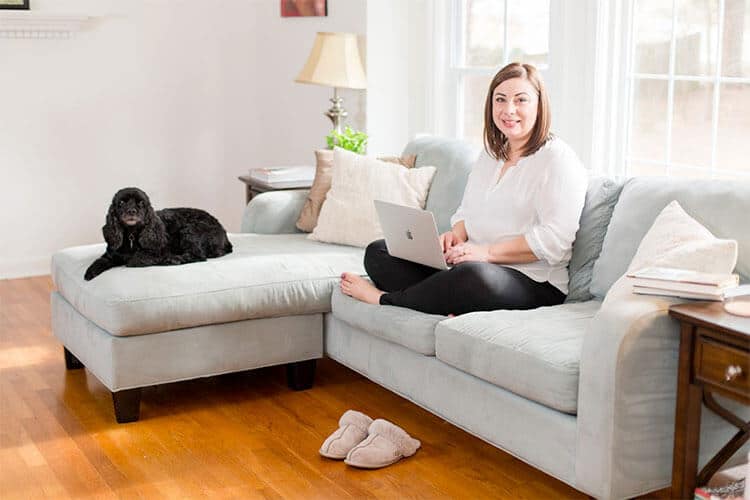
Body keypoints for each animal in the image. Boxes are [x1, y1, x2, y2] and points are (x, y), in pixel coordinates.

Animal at [83, 188, 234, 282]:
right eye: (121, 203)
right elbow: (100, 261)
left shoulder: (157, 252)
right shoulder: (110, 255)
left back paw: (172, 260)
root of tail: (224, 233)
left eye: (141, 203)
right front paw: (89, 273)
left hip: (190, 231)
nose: (131, 211)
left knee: (197, 256)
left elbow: (134, 260)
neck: (131, 234)